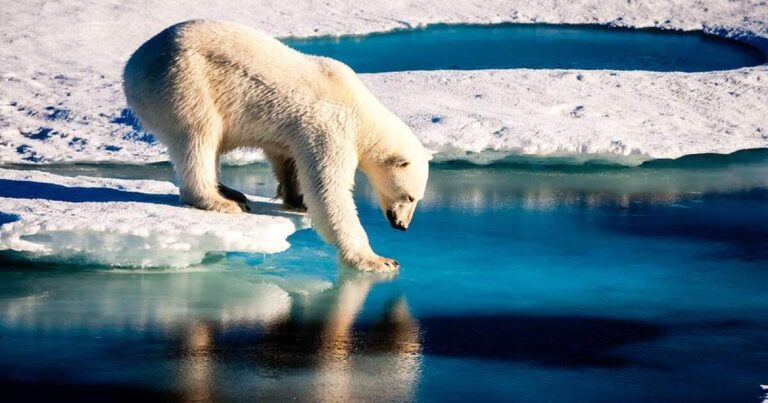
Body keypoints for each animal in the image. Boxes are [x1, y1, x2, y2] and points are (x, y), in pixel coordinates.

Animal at [123, 20, 430, 272]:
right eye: (410, 197)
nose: (402, 226)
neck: (360, 109)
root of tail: (132, 65)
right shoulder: (331, 128)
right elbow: (329, 190)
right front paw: (378, 260)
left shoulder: (295, 132)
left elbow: (287, 159)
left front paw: (297, 200)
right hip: (184, 82)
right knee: (198, 137)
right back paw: (221, 201)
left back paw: (230, 191)